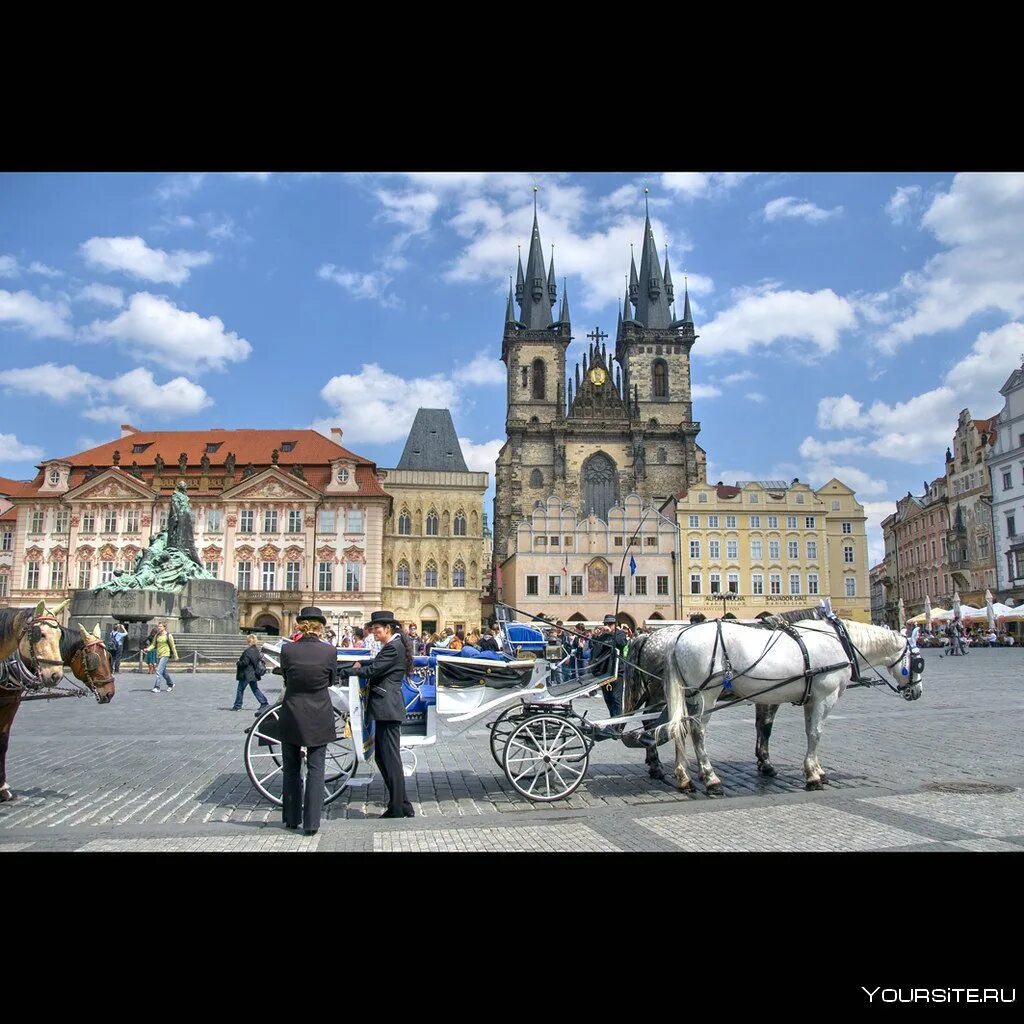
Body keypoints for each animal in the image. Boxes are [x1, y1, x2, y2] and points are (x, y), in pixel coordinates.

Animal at [0, 602, 114, 802]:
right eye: (93, 659)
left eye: (109, 657)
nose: (109, 693)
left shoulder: (11, 702)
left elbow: (3, 741)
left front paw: (3, 788)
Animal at [659, 614, 925, 790]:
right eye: (918, 661)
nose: (917, 691)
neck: (840, 642)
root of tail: (678, 637)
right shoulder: (825, 697)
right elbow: (816, 733)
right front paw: (813, 776)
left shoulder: (811, 699)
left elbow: (808, 732)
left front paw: (816, 769)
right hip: (707, 695)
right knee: (698, 732)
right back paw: (710, 777)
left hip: (689, 695)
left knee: (680, 728)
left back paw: (684, 777)